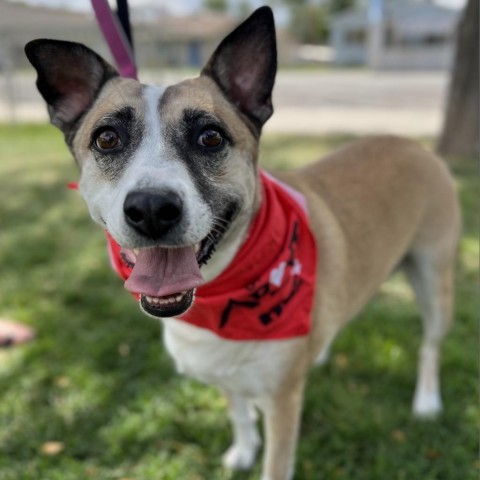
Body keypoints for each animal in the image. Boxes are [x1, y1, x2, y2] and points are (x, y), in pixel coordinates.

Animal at [26, 7, 462, 480]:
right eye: (107, 138)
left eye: (210, 137)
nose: (151, 209)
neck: (220, 295)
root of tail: (412, 144)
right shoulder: (223, 374)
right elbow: (237, 411)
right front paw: (243, 448)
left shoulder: (283, 403)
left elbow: (275, 461)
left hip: (434, 282)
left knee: (430, 347)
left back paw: (427, 401)